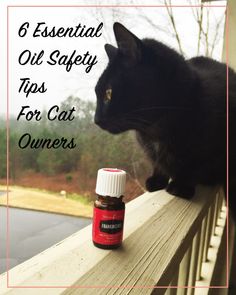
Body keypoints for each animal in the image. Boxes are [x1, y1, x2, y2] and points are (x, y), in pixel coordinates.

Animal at [94, 22, 236, 219]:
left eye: (108, 93)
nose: (96, 119)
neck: (155, 129)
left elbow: (195, 166)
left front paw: (181, 186)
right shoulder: (150, 150)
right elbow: (158, 163)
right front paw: (157, 180)